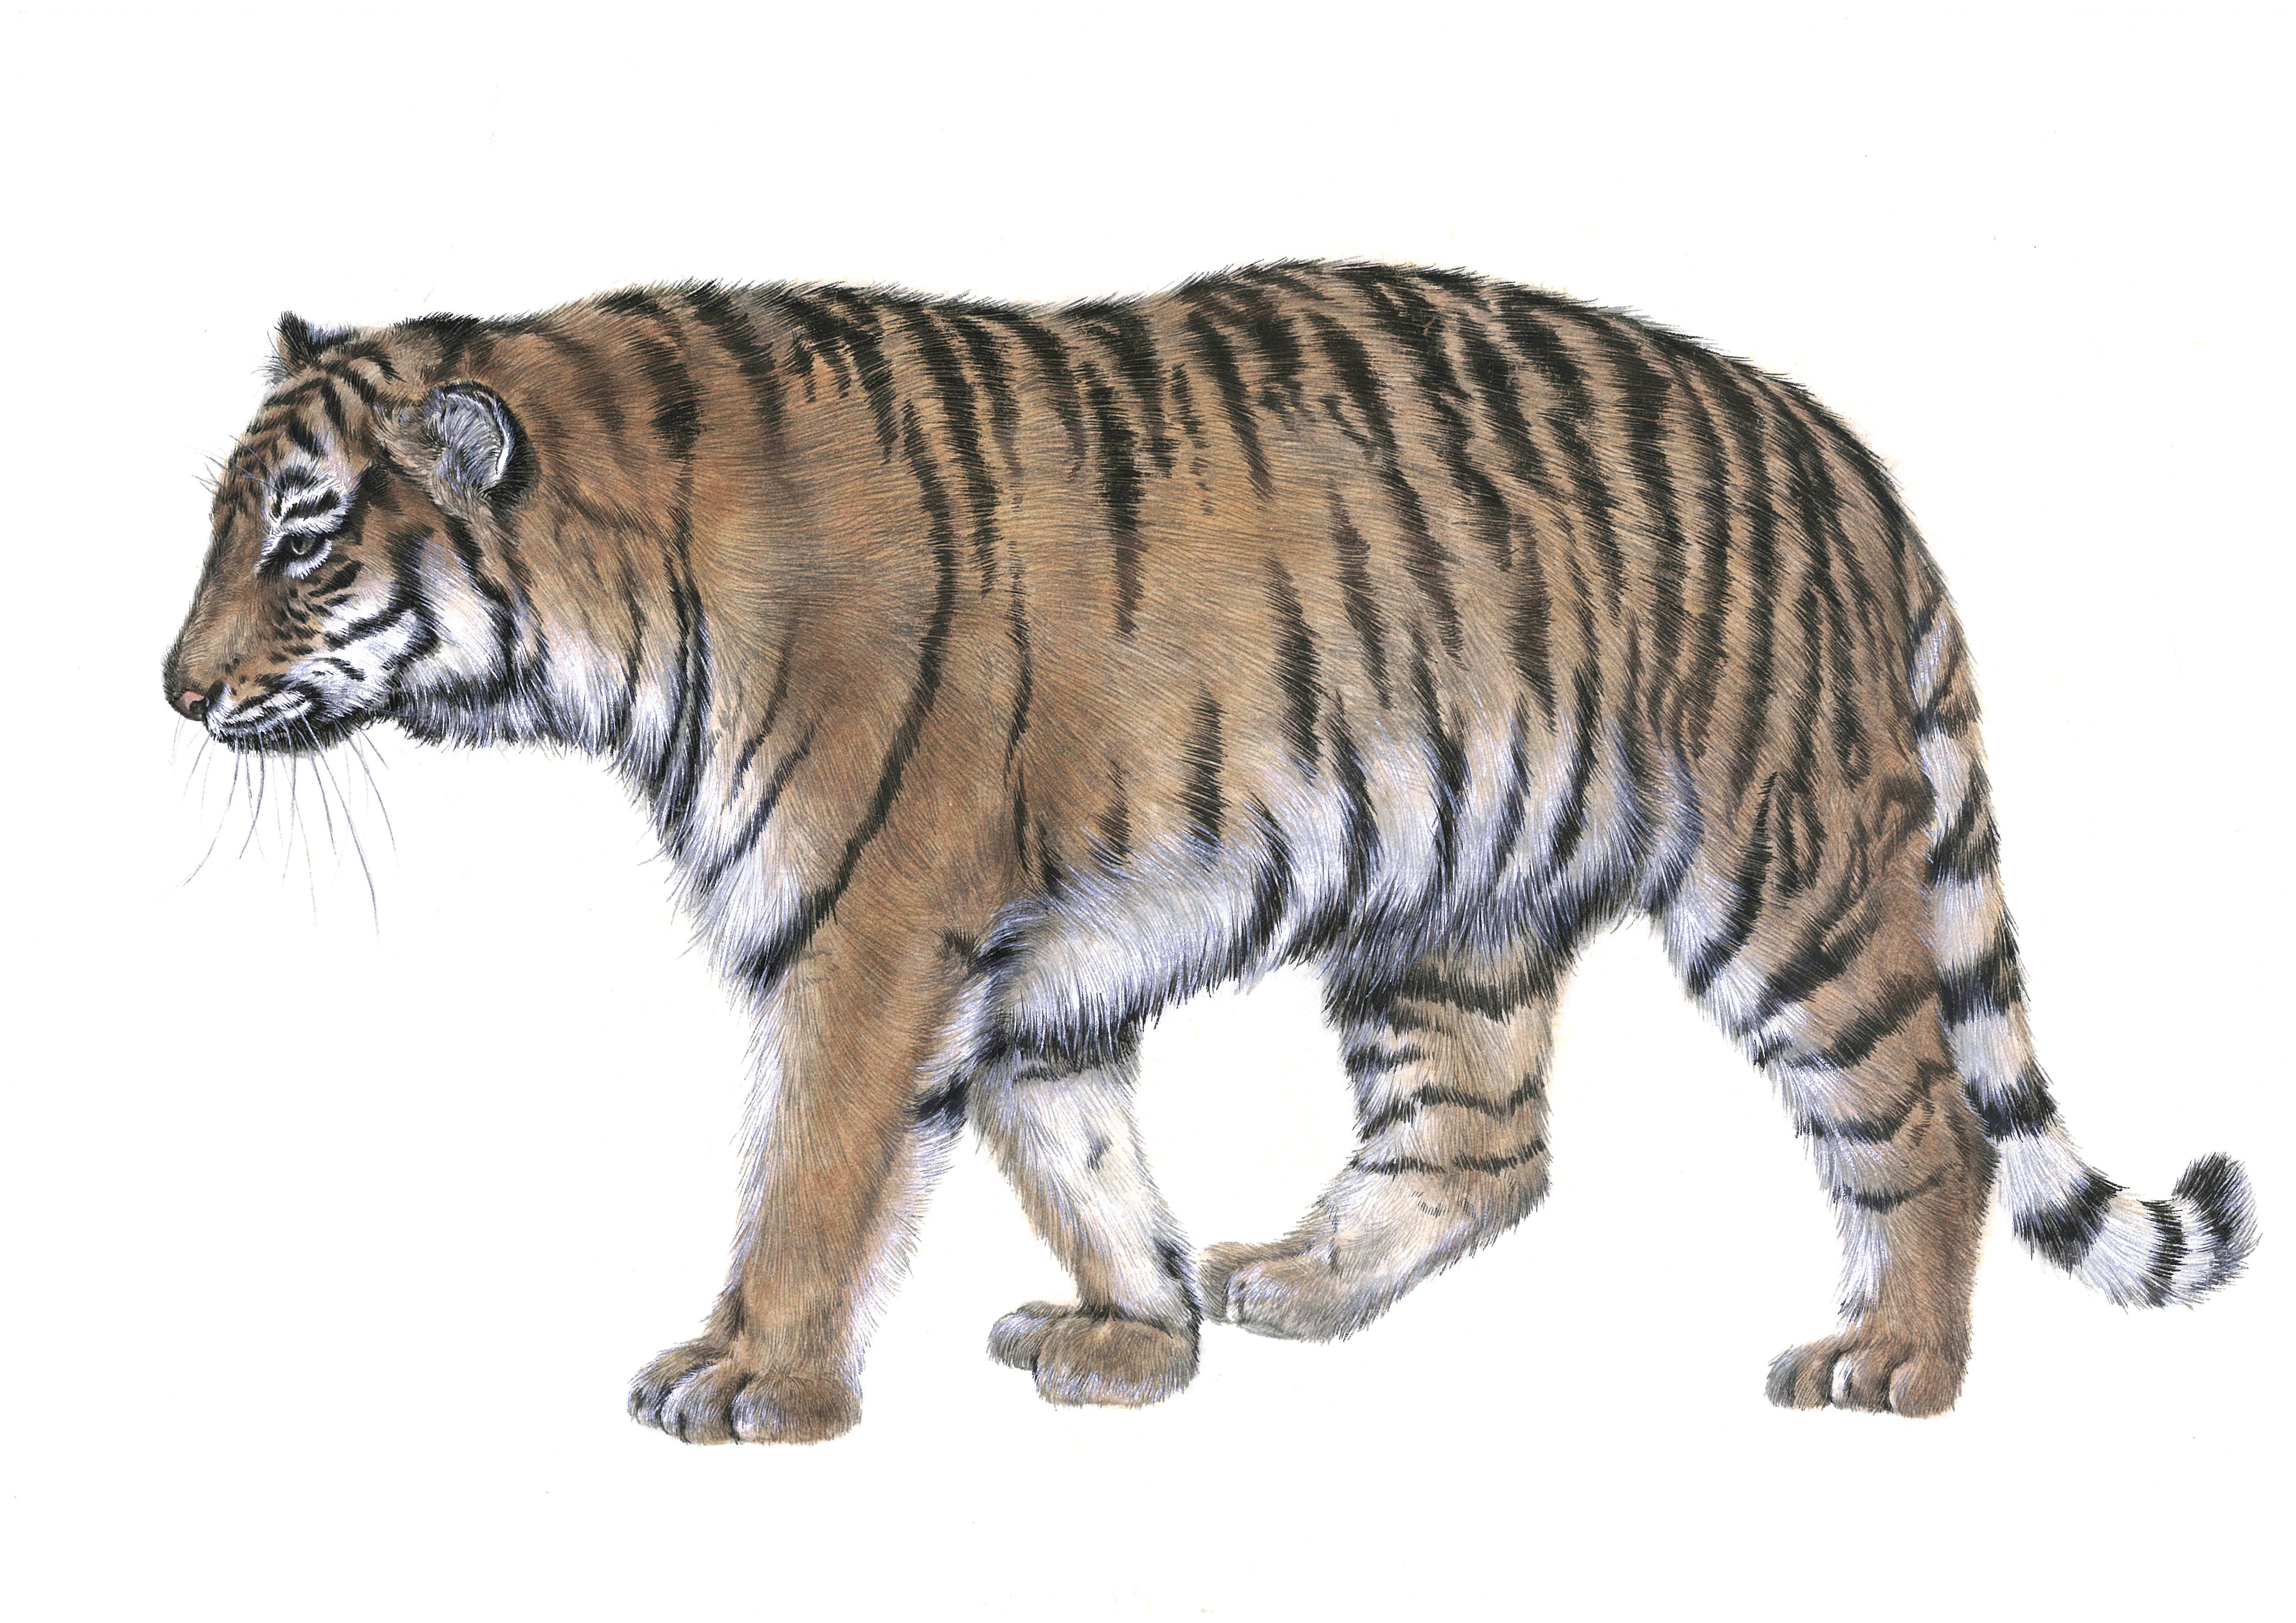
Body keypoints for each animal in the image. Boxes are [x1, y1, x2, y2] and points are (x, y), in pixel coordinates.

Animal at [163, 262, 2254, 1442]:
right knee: (1485, 1141)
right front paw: (1137, 1333)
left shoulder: (875, 933)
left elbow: (814, 1179)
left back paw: (1889, 1364)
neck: (612, 620)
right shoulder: (1019, 961)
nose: (173, 691)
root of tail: (1839, 455)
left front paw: (754, 1380)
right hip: (1450, 907)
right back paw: (1298, 1285)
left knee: (1921, 1122)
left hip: (1786, 878)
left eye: (301, 537)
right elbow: (1080, 1158)